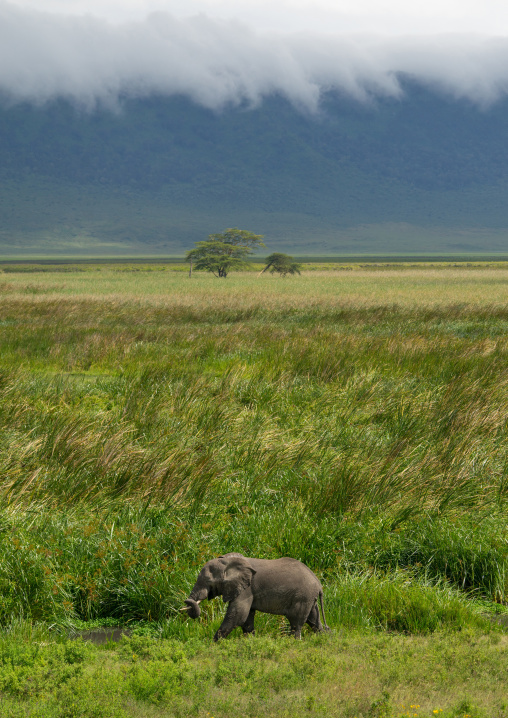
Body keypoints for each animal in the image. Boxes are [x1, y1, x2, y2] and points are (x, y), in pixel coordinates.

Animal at [181, 552, 330, 640]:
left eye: (208, 581)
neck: (228, 561)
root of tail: (319, 584)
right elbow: (246, 618)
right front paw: (250, 641)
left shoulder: (247, 589)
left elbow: (238, 615)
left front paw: (214, 644)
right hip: (309, 598)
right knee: (314, 620)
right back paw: (325, 638)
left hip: (302, 597)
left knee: (296, 622)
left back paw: (294, 642)